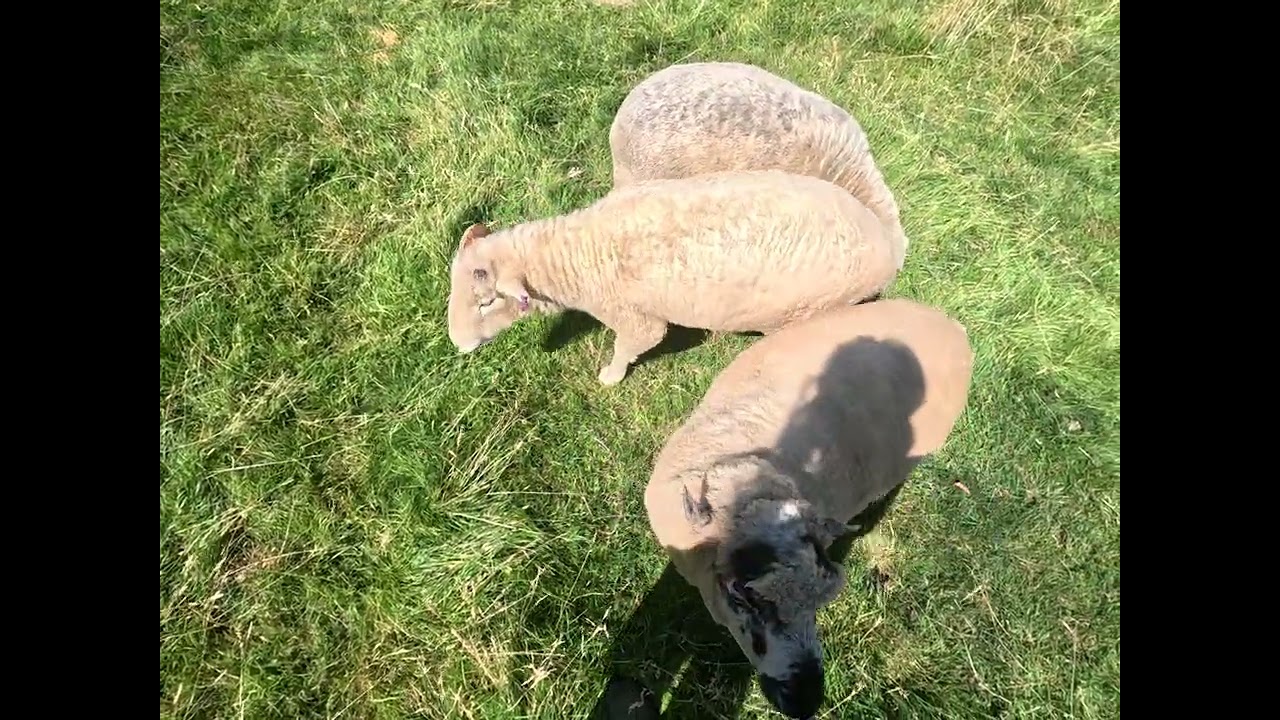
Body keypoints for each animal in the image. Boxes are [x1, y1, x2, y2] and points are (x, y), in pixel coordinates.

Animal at [445, 169, 898, 386]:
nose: (458, 345)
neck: (578, 253)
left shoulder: (638, 320)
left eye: (487, 302)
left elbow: (632, 345)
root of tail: (887, 249)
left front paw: (610, 377)